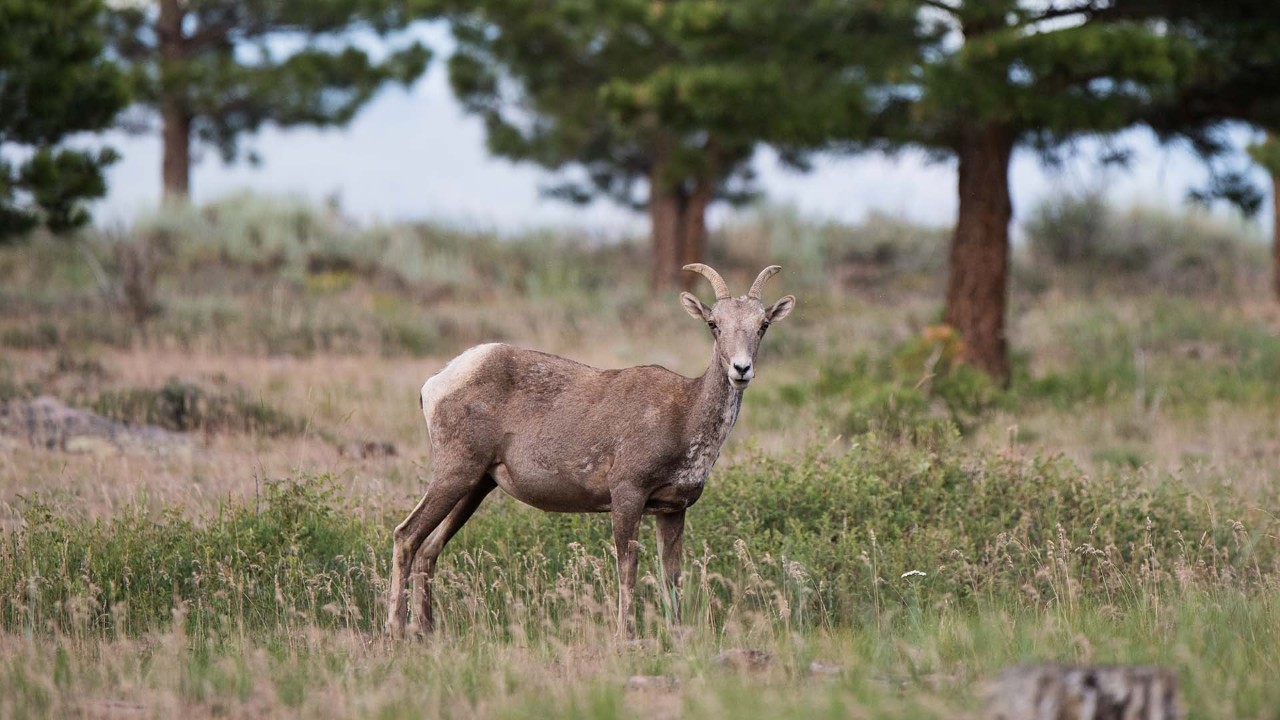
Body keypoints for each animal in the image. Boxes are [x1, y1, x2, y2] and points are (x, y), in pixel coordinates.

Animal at [388, 263, 796, 638]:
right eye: (714, 324)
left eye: (763, 325)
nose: (741, 369)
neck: (684, 416)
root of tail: (436, 383)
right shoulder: (627, 494)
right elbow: (628, 569)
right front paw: (626, 638)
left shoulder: (672, 510)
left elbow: (672, 578)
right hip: (455, 474)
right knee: (406, 536)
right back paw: (396, 632)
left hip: (477, 486)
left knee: (429, 549)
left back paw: (427, 632)